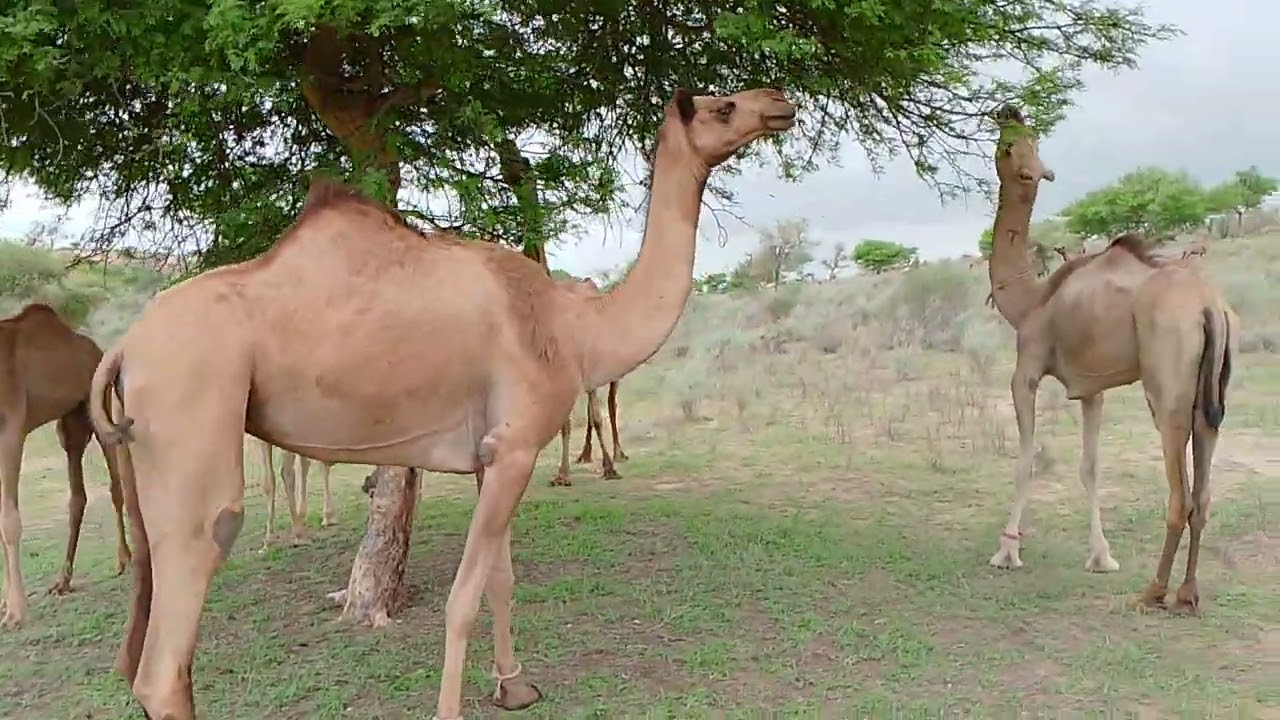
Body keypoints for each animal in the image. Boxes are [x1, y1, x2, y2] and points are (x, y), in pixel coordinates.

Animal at [0, 303, 130, 627]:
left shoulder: (10, 431)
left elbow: (9, 519)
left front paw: (16, 612)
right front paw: (7, 604)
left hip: (97, 407)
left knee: (115, 486)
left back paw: (124, 559)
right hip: (69, 425)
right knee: (77, 496)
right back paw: (63, 581)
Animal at [549, 275, 627, 487]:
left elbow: (599, 418)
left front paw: (609, 468)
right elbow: (566, 423)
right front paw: (562, 475)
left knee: (611, 404)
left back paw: (618, 453)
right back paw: (585, 454)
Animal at [984, 105, 1237, 614]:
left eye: (1012, 144)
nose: (1010, 110)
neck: (1030, 298)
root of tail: (1209, 306)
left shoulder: (1026, 369)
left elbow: (1026, 457)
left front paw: (1007, 551)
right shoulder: (1091, 387)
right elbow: (1090, 466)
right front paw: (1101, 557)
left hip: (1166, 389)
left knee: (1179, 495)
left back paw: (1153, 592)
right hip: (1211, 394)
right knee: (1203, 491)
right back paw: (1188, 594)